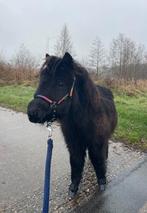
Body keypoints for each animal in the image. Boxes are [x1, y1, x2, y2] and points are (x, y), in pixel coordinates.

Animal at [27, 52, 117, 198]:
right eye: (40, 81)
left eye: (60, 83)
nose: (32, 113)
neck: (83, 121)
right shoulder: (74, 145)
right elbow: (76, 163)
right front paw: (73, 188)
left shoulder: (97, 143)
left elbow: (98, 160)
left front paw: (102, 182)